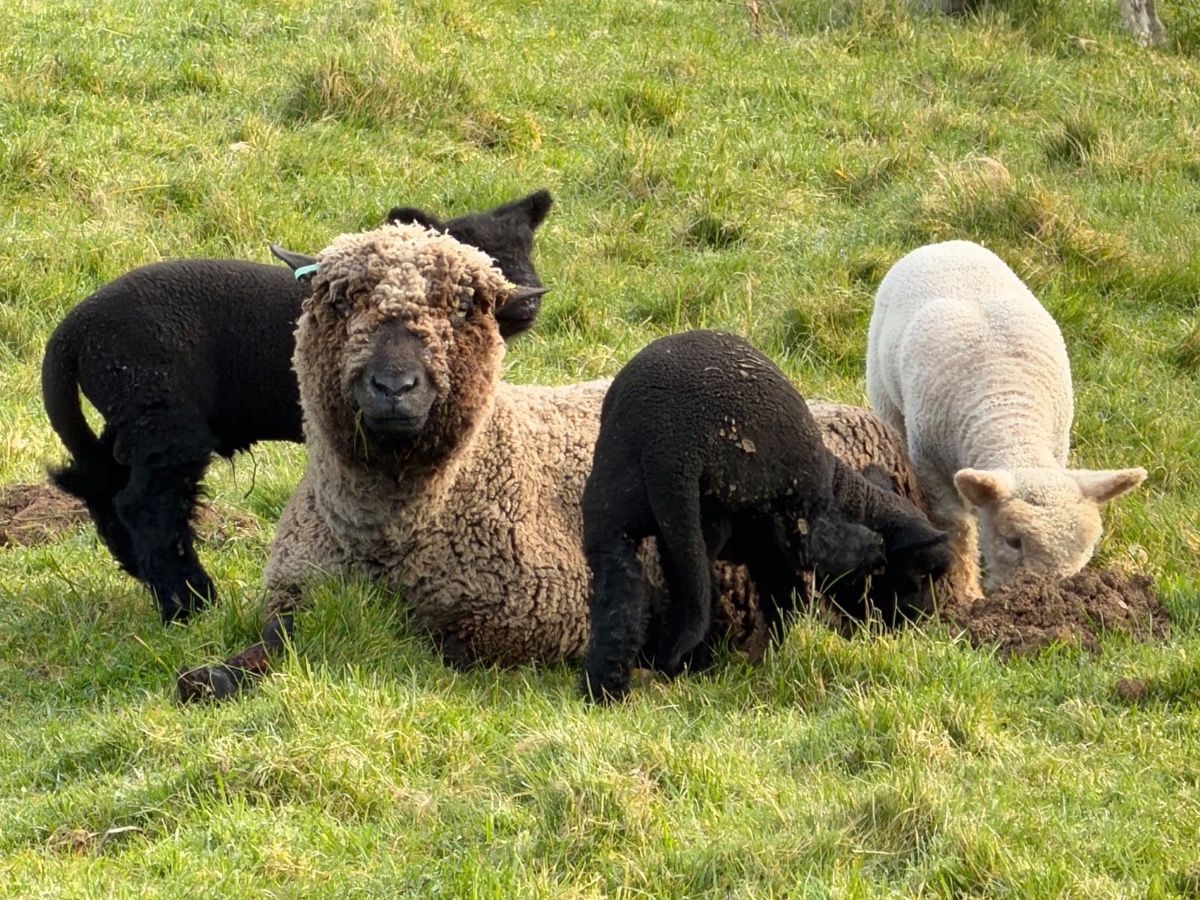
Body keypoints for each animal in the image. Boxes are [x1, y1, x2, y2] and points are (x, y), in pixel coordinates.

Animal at [42, 189, 553, 625]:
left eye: (526, 249)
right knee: (146, 503)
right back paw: (189, 603)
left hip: (131, 414)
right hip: (160, 409)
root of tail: (70, 335)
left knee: (101, 483)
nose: (528, 299)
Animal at [177, 222, 603, 702]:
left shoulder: (524, 624)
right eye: (341, 302)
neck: (385, 536)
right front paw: (210, 677)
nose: (394, 386)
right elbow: (276, 638)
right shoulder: (295, 592)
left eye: (462, 307)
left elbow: (426, 647)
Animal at [579, 330, 890, 703]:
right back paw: (872, 549)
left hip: (621, 509)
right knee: (815, 542)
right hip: (779, 482)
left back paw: (606, 688)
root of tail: (670, 450)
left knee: (627, 597)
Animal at [866, 239, 1147, 595]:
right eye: (1012, 540)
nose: (1043, 596)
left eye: (1087, 547)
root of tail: (946, 244)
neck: (1010, 416)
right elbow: (959, 531)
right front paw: (967, 593)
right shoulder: (930, 469)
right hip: (885, 396)